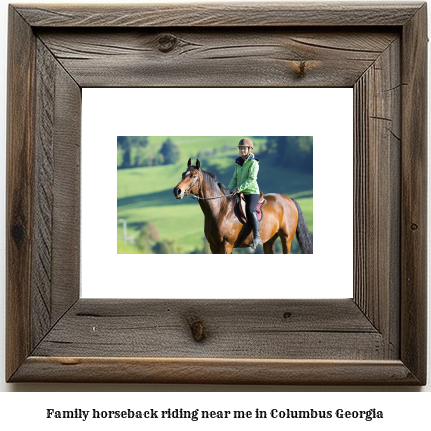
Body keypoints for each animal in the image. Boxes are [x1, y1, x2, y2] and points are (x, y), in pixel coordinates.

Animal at [173, 159, 314, 253]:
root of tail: (289, 199)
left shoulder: (226, 245)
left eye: (193, 176)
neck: (220, 210)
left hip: (286, 239)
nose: (177, 191)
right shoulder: (214, 246)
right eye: (183, 174)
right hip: (269, 240)